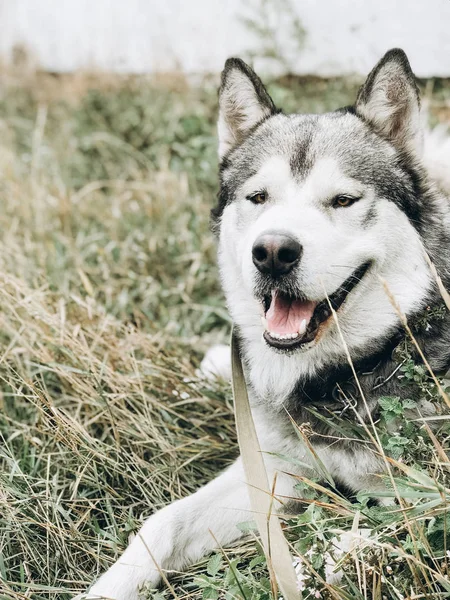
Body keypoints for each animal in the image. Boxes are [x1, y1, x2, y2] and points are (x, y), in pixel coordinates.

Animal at [79, 48, 450, 600]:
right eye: (258, 198)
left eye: (343, 200)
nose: (273, 252)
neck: (341, 374)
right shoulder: (273, 466)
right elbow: (161, 524)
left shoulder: (429, 496)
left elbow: (346, 546)